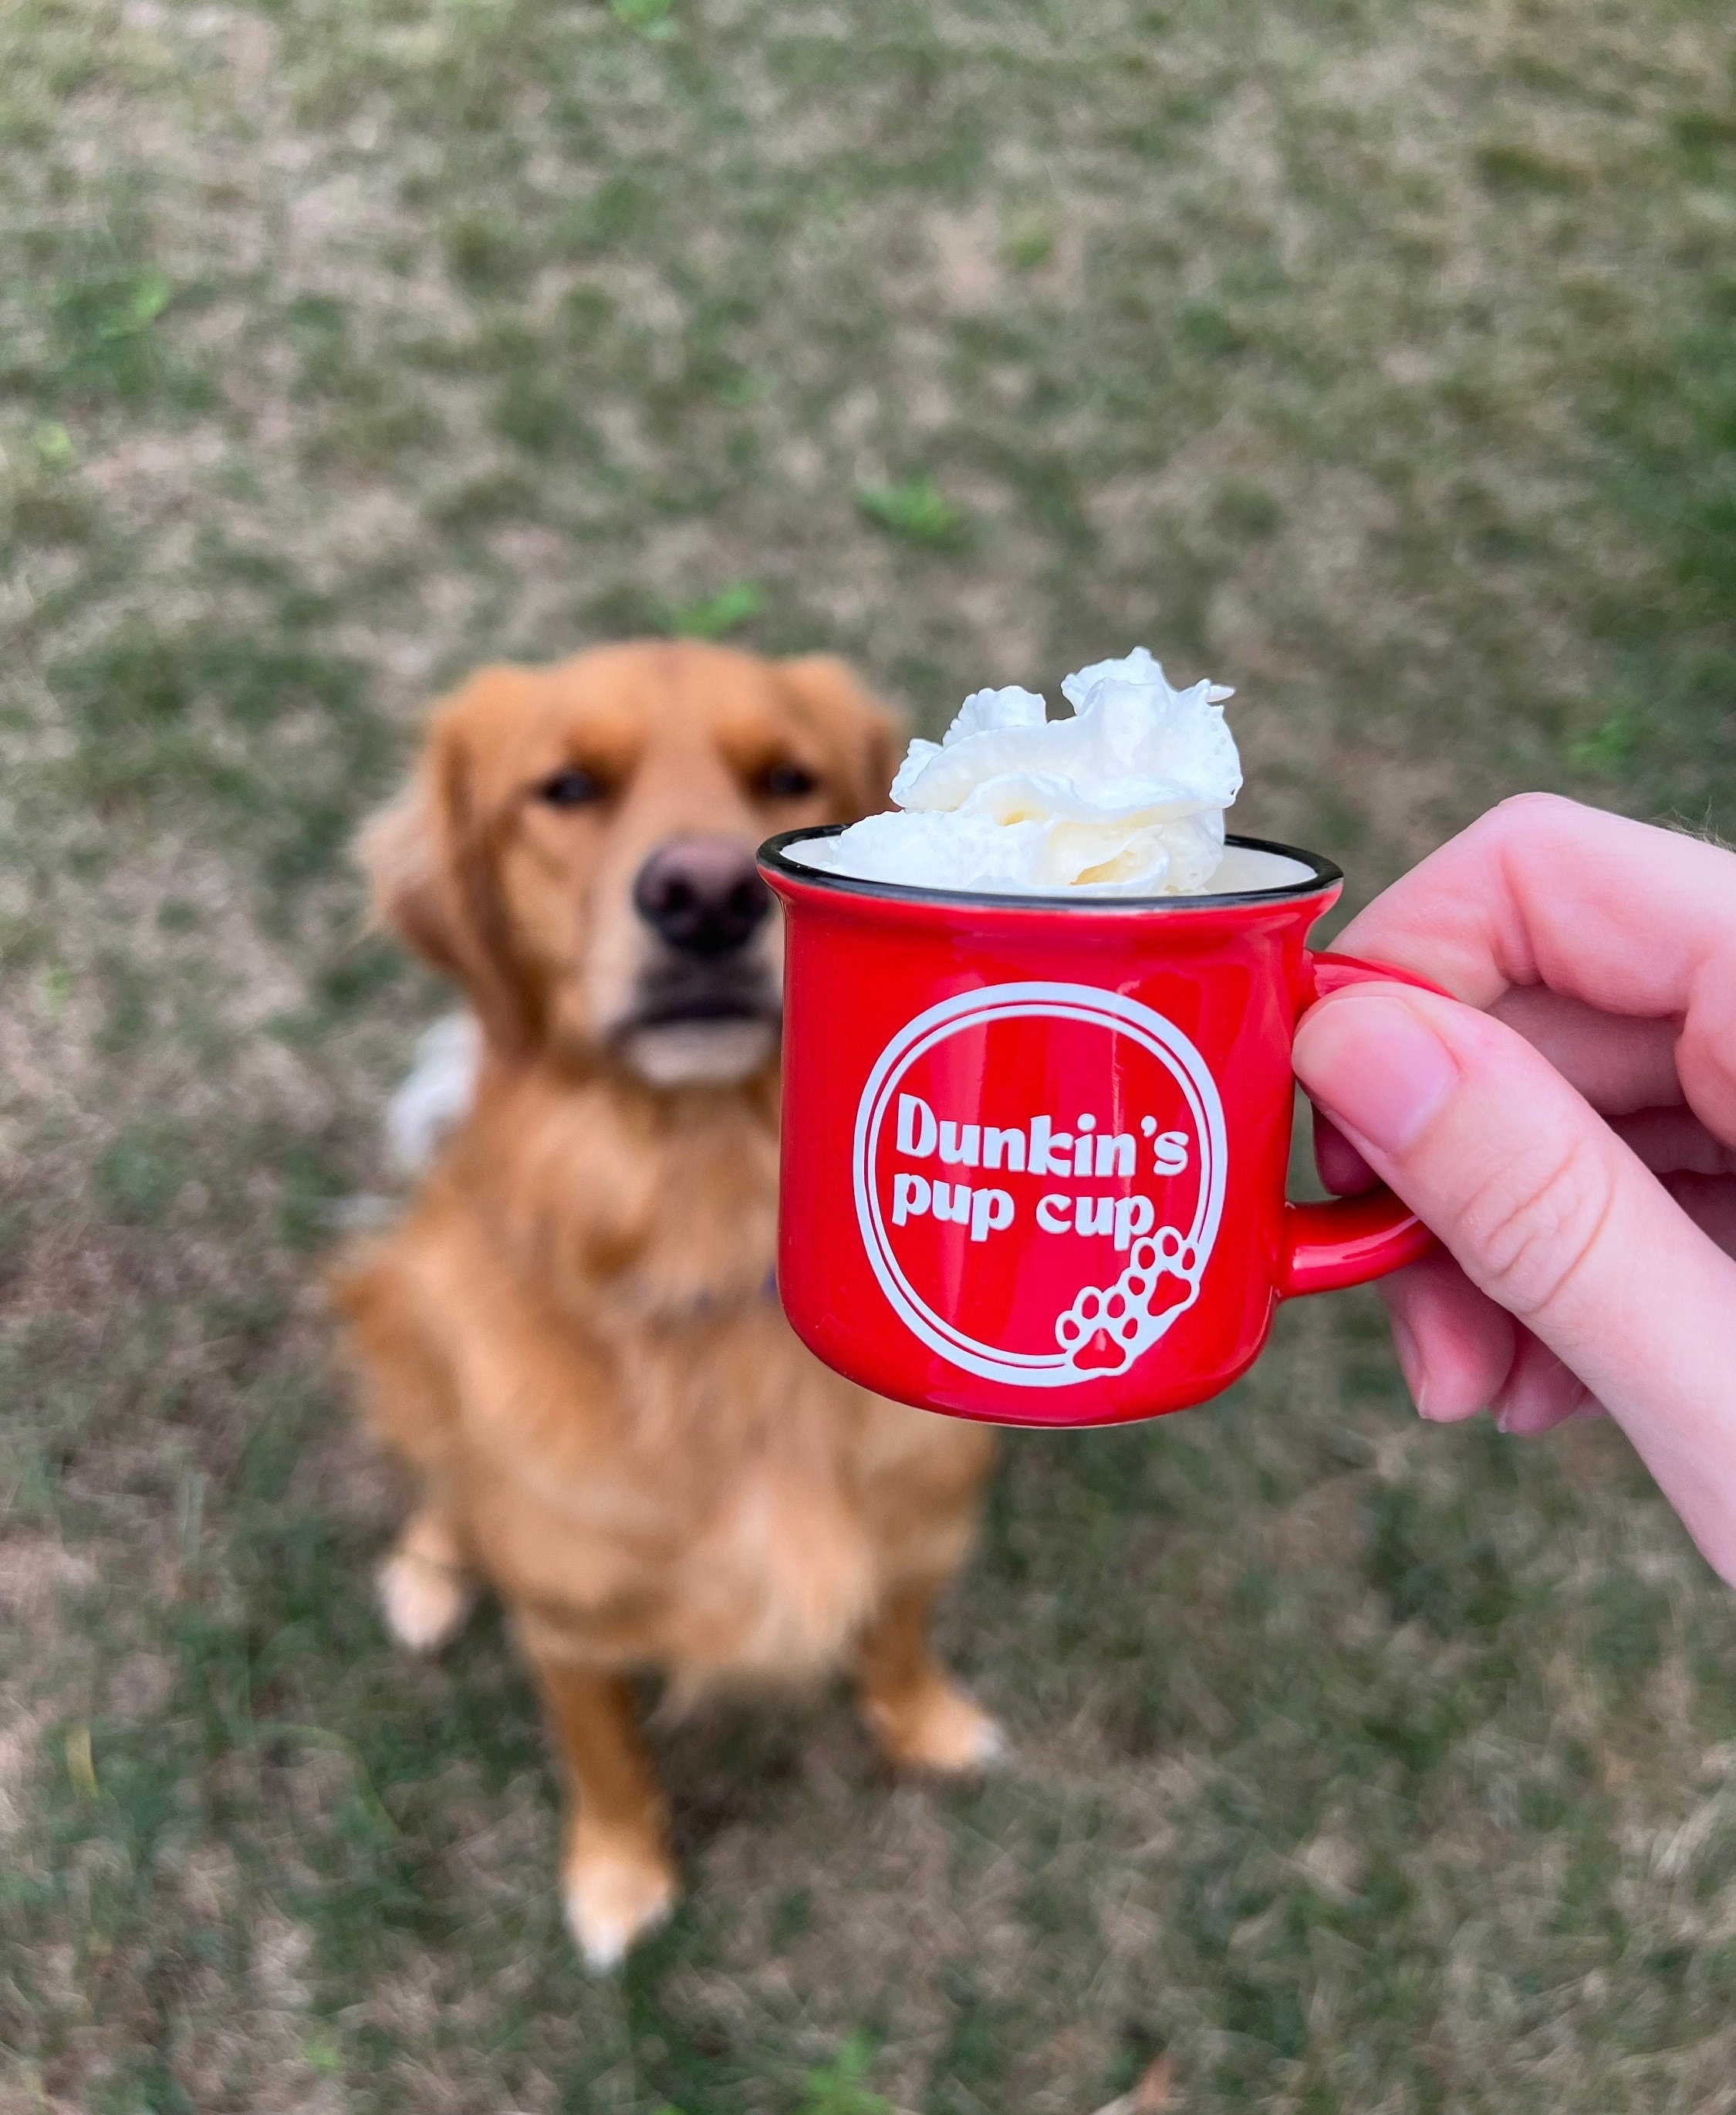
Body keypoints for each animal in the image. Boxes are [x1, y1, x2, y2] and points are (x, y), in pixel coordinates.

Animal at [329, 638, 994, 1962]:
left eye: (787, 776)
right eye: (566, 790)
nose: (707, 895)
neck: (710, 1232)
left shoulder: (921, 1525)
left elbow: (897, 1638)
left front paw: (923, 1720)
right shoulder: (573, 1624)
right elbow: (607, 1764)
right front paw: (618, 1875)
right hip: (401, 1307)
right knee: (441, 1473)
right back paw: (429, 1570)